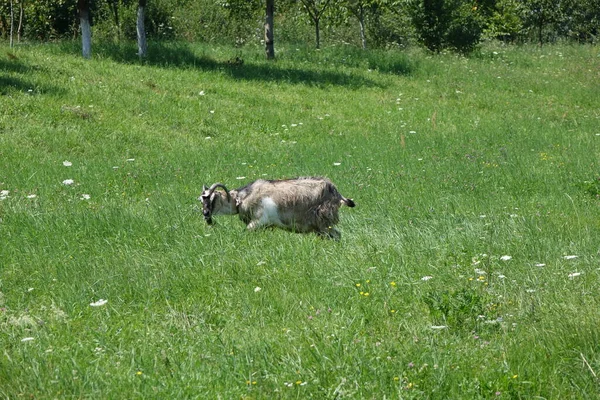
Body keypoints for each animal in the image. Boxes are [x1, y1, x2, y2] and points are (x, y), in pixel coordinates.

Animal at [199, 177, 354, 239]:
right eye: (201, 200)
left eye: (212, 198)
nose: (206, 214)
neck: (241, 198)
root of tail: (335, 191)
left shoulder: (257, 221)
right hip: (320, 227)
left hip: (323, 222)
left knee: (337, 235)